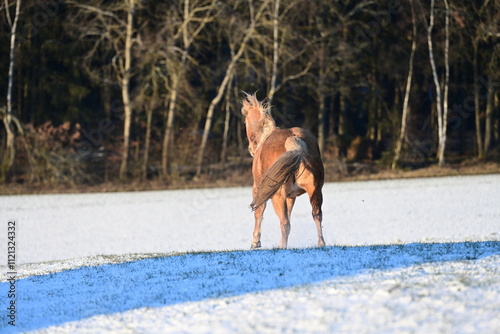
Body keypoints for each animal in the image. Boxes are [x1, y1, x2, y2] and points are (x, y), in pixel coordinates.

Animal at [241, 92, 326, 249]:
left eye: (245, 121)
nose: (251, 149)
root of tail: (295, 142)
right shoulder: (291, 196)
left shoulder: (259, 189)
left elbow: (259, 212)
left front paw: (255, 242)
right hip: (315, 191)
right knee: (316, 215)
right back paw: (321, 243)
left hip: (277, 196)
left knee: (285, 223)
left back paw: (282, 248)